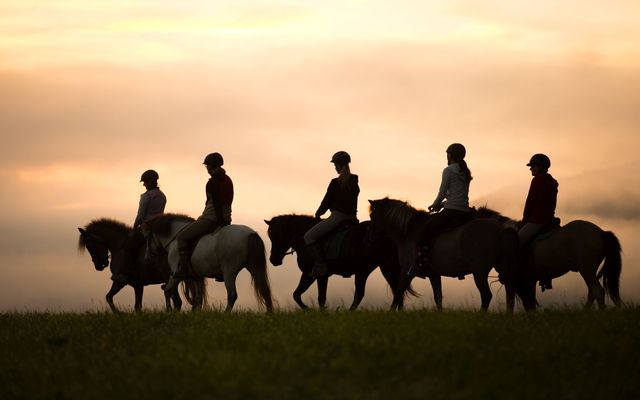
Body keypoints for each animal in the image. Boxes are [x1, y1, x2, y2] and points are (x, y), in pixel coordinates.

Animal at [264, 214, 418, 310]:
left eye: (274, 235)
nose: (273, 260)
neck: (305, 239)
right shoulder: (312, 274)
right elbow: (298, 294)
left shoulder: (317, 274)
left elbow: (318, 297)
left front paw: (313, 311)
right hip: (369, 270)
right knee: (390, 290)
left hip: (384, 267)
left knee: (393, 290)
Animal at [364, 198, 524, 310]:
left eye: (372, 216)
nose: (368, 238)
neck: (409, 231)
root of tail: (501, 229)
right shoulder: (434, 275)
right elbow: (438, 297)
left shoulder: (408, 271)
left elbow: (398, 292)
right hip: (502, 267)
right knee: (510, 291)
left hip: (480, 272)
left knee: (486, 296)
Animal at [476, 208, 620, 310]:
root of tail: (602, 232)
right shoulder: (530, 280)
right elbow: (529, 303)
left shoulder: (511, 280)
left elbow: (512, 302)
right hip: (588, 271)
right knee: (592, 292)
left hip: (587, 269)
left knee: (597, 291)